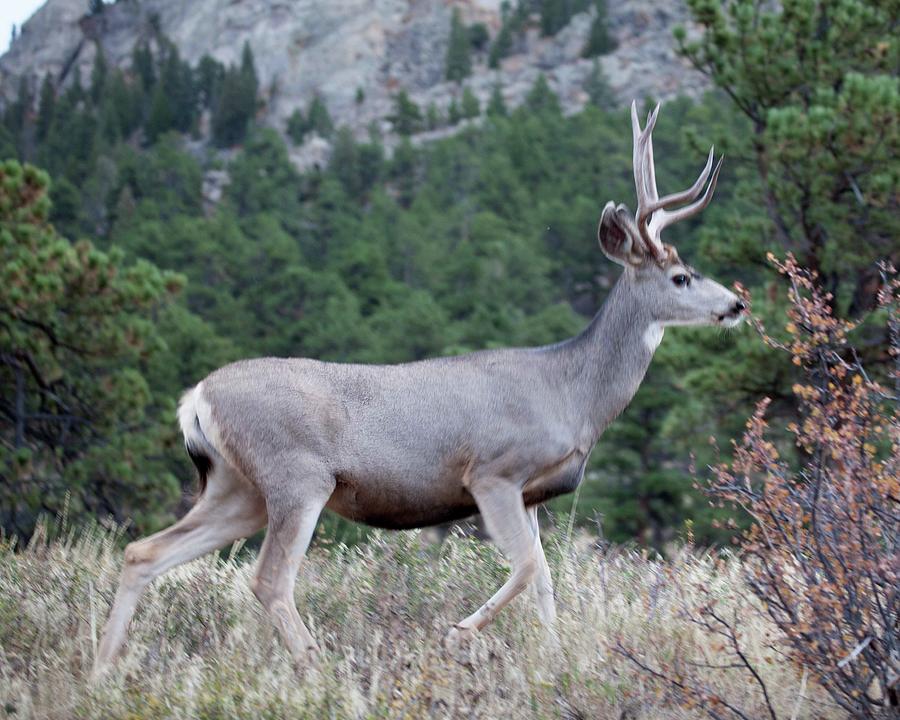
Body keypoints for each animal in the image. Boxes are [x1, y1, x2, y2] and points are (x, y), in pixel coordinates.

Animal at [91, 100, 744, 676]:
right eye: (681, 276)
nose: (737, 303)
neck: (572, 394)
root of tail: (195, 397)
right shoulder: (493, 472)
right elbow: (526, 570)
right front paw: (457, 632)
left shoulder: (534, 494)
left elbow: (545, 581)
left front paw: (558, 662)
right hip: (296, 475)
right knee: (270, 580)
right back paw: (322, 670)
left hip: (237, 487)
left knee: (143, 552)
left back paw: (102, 673)